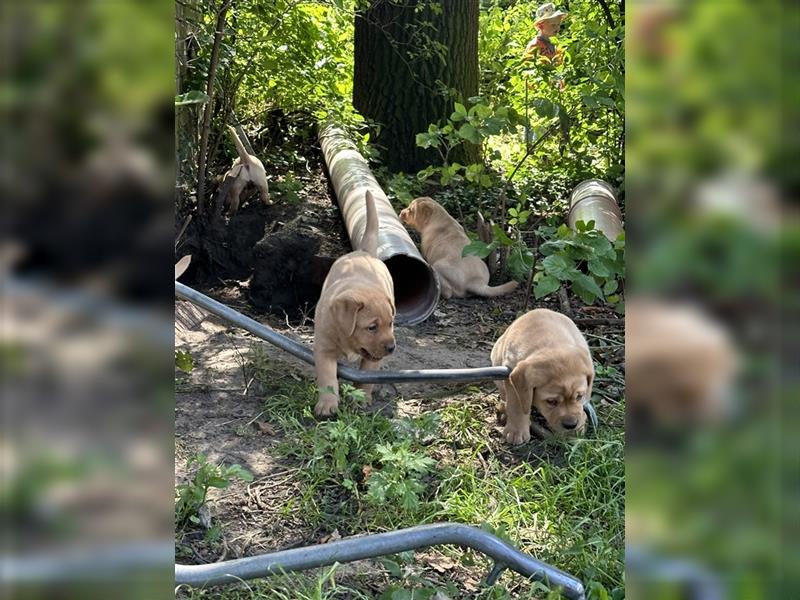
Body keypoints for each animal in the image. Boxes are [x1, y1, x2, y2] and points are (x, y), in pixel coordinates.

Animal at [314, 192, 398, 418]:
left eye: (390, 324)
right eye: (371, 327)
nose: (391, 348)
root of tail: (364, 252)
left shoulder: (373, 356)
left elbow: (366, 377)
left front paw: (361, 399)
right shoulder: (324, 348)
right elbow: (327, 378)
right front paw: (327, 404)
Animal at [490, 310, 596, 440]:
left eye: (579, 396)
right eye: (551, 401)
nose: (571, 425)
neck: (553, 345)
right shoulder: (511, 372)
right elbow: (518, 404)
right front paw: (516, 431)